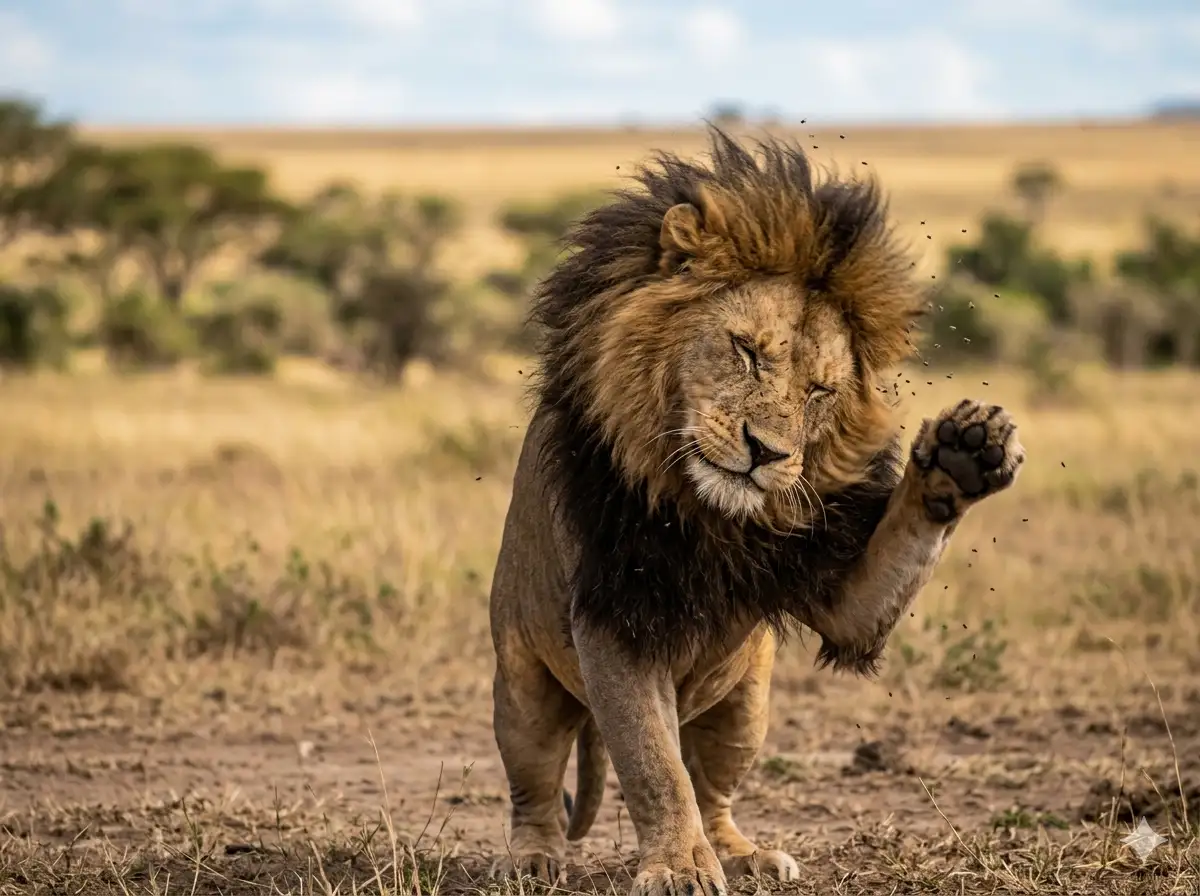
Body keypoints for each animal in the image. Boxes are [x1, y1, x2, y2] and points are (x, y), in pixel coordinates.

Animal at [488, 127, 1025, 896]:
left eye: (820, 392)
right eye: (744, 352)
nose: (766, 451)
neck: (707, 512)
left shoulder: (836, 588)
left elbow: (890, 558)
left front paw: (964, 456)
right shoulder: (615, 616)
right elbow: (653, 766)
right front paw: (678, 869)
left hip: (747, 703)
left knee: (713, 788)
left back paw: (744, 853)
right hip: (523, 684)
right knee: (535, 786)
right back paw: (534, 858)